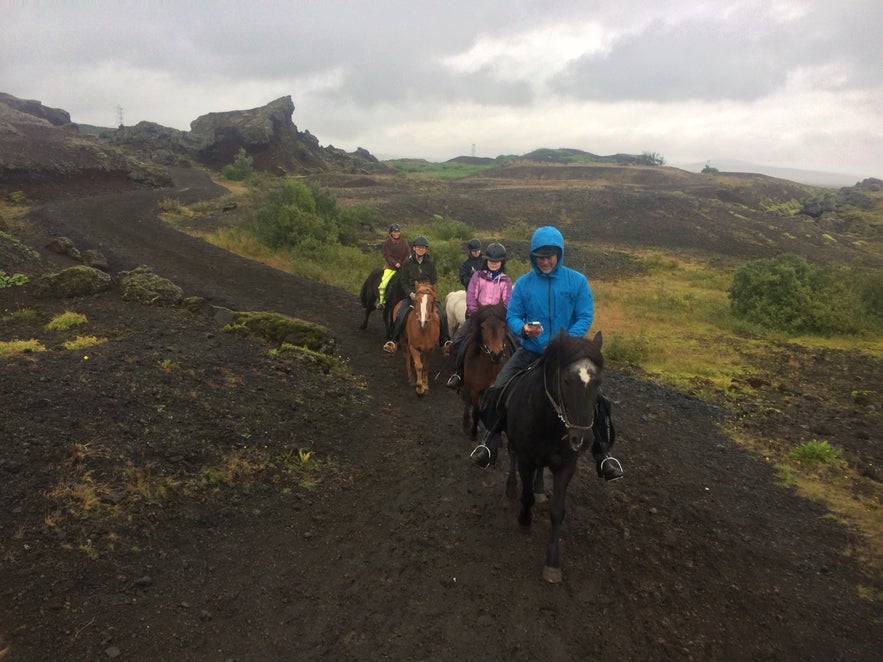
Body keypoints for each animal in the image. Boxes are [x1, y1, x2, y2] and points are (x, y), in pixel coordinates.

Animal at [462, 306, 512, 440]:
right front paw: (473, 432)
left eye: (503, 326)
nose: (496, 354)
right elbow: (476, 411)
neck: (490, 369)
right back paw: (466, 422)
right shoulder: (475, 390)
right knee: (467, 399)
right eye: (483, 328)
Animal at [504, 334, 608, 584]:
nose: (583, 439)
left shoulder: (567, 466)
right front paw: (524, 520)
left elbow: (557, 510)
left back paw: (541, 488)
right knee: (511, 455)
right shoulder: (526, 459)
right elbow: (526, 495)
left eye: (598, 382)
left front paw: (552, 562)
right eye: (566, 381)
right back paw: (511, 486)